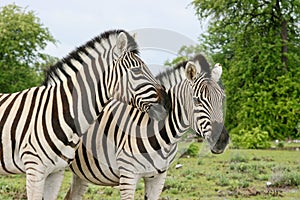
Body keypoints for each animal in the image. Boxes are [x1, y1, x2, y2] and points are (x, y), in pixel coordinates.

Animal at [65, 54, 230, 199]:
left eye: (222, 98)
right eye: (197, 101)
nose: (221, 141)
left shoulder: (158, 177)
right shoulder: (128, 176)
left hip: (81, 172)